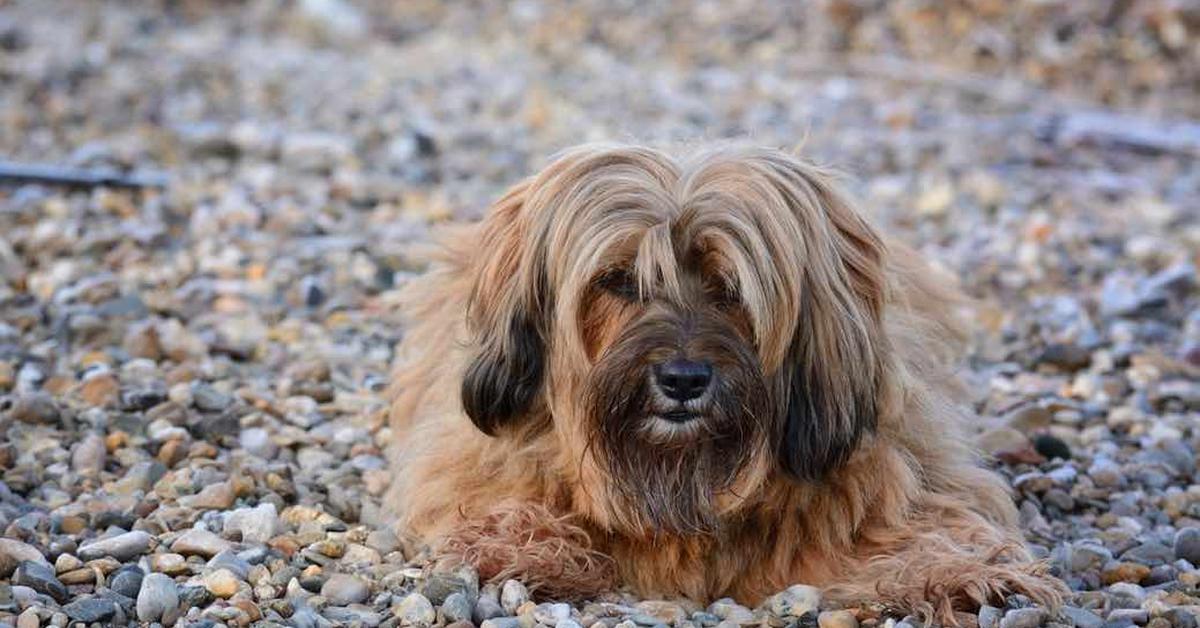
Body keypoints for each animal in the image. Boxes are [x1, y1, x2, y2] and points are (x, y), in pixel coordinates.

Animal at [381, 145, 1060, 619]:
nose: (683, 380)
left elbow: (929, 523)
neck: (680, 473)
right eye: (618, 280)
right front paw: (523, 546)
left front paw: (963, 573)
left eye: (730, 287)